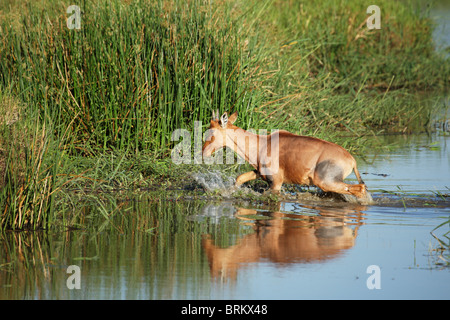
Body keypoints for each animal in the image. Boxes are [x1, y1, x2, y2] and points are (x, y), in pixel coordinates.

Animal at [203, 110, 370, 200]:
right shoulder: (260, 173)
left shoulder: (276, 183)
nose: (203, 153)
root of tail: (352, 160)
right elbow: (240, 178)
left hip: (326, 182)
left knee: (360, 189)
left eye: (211, 132)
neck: (264, 143)